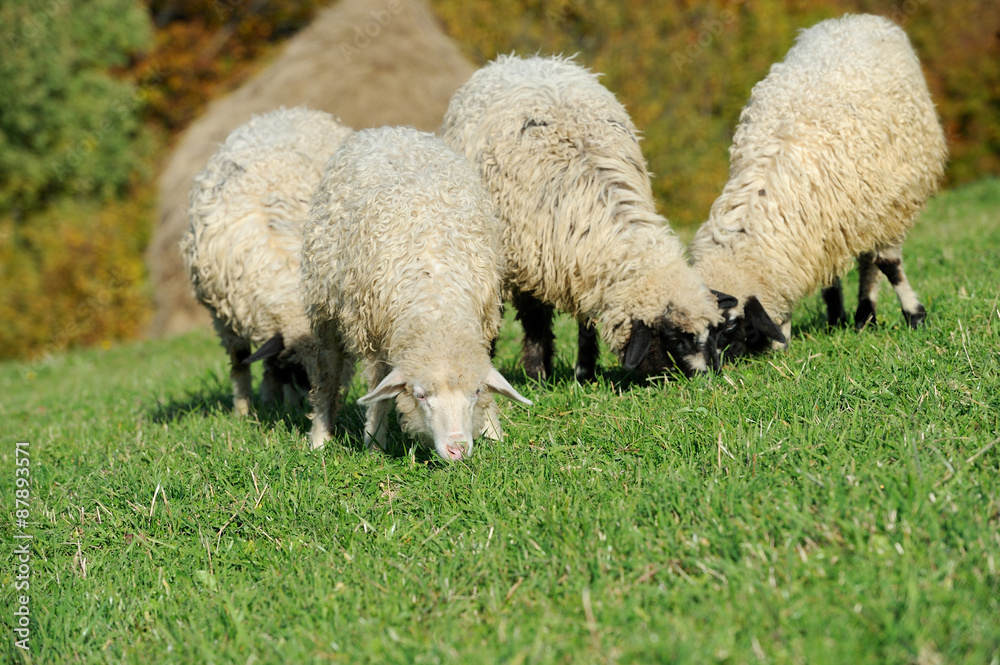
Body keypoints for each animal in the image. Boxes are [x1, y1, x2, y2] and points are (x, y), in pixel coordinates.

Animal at [180, 106, 352, 412]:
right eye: (296, 371)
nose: (311, 408)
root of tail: (294, 110)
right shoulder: (222, 314)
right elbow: (239, 361)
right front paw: (243, 409)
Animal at [298, 124, 528, 460]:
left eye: (474, 392)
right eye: (420, 395)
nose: (457, 449)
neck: (436, 305)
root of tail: (389, 130)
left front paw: (493, 432)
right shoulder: (374, 333)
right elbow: (378, 392)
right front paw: (374, 444)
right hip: (324, 304)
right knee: (327, 372)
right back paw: (320, 437)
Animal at [442, 55, 724, 384]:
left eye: (712, 333)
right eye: (677, 339)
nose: (707, 378)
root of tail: (521, 60)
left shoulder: (580, 265)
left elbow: (585, 323)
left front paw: (585, 373)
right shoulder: (521, 261)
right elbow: (528, 320)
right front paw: (535, 374)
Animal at [692, 14, 948, 358]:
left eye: (731, 327)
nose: (718, 366)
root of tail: (850, 20)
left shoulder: (891, 203)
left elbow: (889, 265)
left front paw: (915, 315)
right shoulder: (817, 229)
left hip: (880, 199)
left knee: (871, 262)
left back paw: (865, 315)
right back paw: (851, 316)